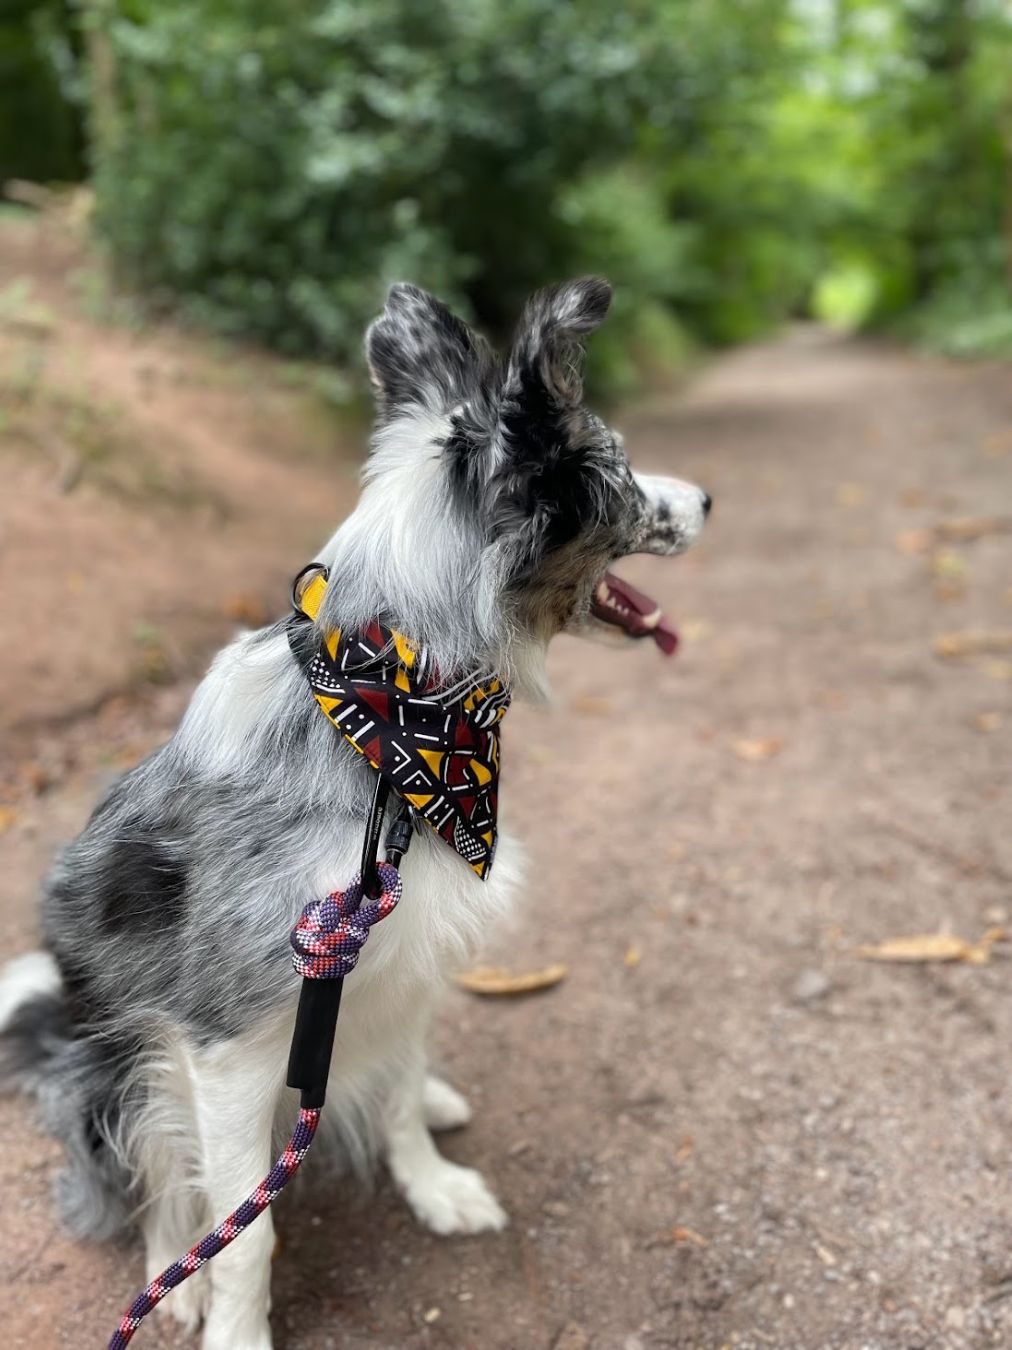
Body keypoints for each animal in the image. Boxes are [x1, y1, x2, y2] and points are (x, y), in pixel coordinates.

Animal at [0, 276, 707, 1350]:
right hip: (114, 1064)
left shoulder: (405, 955)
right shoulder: (225, 1046)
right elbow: (243, 1231)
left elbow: (404, 1099)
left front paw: (435, 1185)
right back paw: (178, 1275)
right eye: (621, 469)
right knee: (155, 1174)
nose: (710, 499)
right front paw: (233, 1327)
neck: (395, 725)